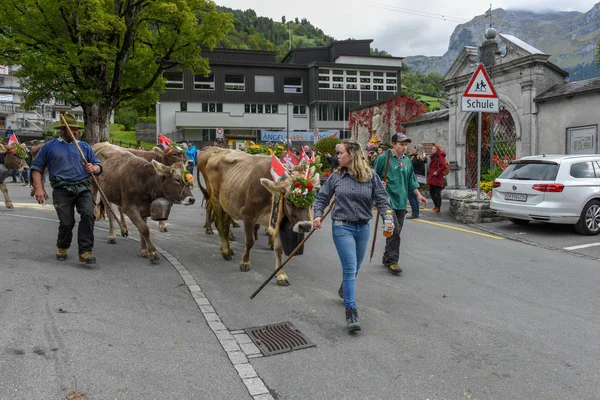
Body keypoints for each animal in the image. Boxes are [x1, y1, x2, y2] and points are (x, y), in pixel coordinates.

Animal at [198, 148, 322, 286]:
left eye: (312, 199)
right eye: (289, 199)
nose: (305, 226)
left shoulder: (276, 221)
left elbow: (279, 249)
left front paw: (280, 275)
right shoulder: (248, 215)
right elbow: (250, 241)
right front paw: (245, 262)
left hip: (228, 204)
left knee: (225, 226)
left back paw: (227, 248)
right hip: (215, 199)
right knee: (219, 224)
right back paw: (225, 250)